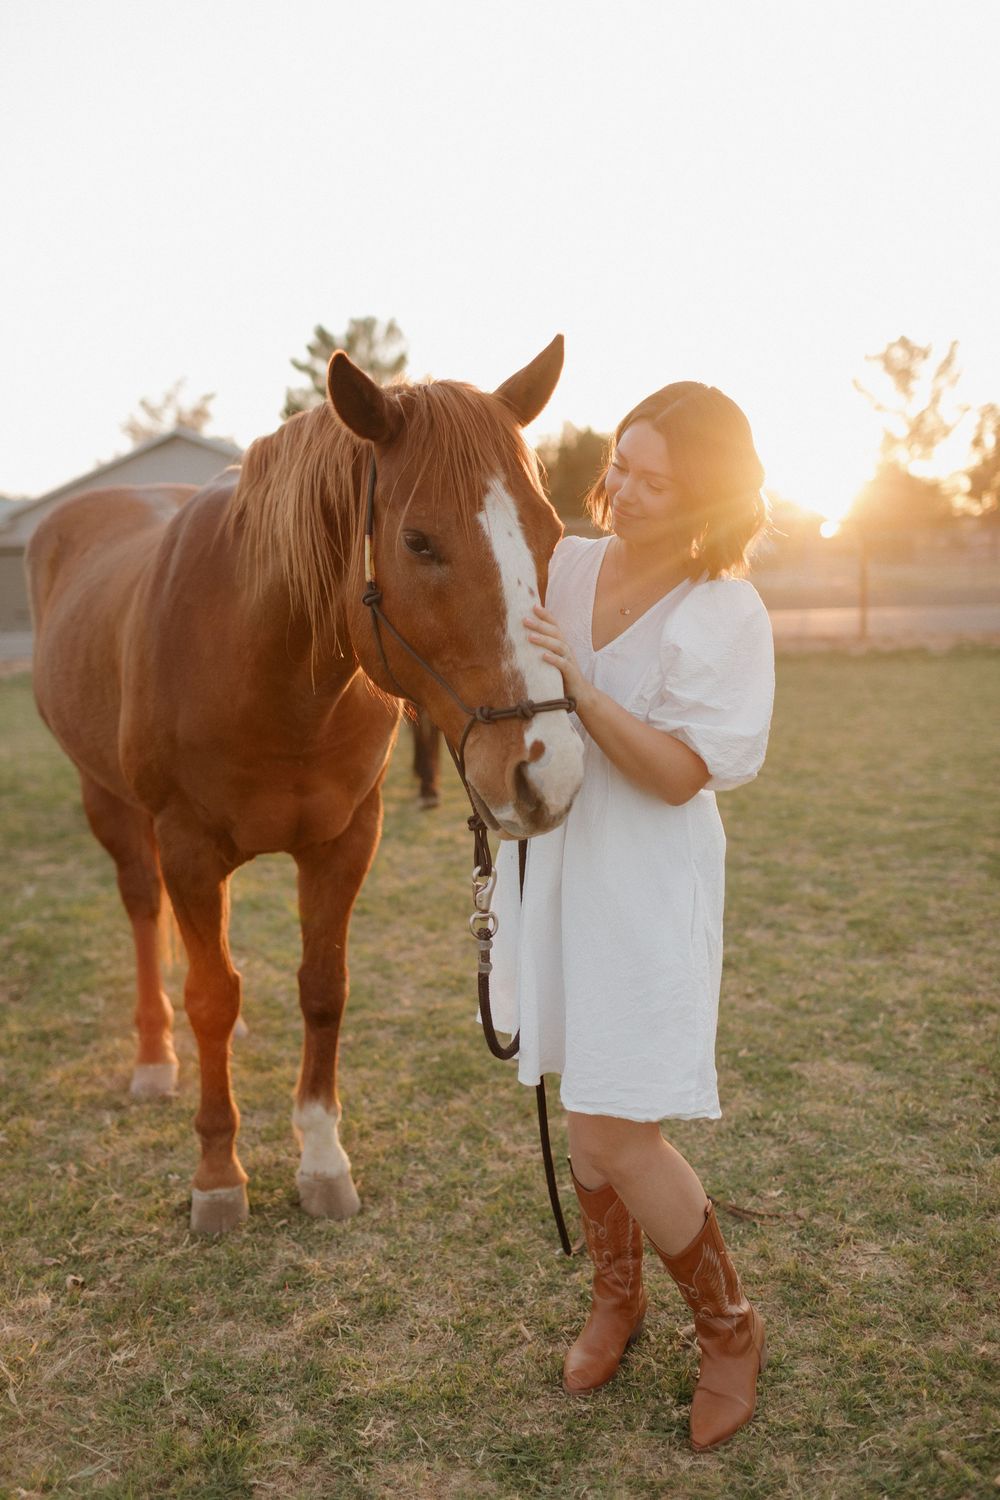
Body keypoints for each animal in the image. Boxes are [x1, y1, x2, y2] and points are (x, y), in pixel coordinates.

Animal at [27, 336, 584, 1234]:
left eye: (552, 531)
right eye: (419, 542)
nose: (548, 768)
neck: (269, 670)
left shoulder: (346, 839)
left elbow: (322, 989)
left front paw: (322, 1159)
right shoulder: (186, 846)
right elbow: (207, 998)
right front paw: (218, 1175)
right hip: (108, 801)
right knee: (146, 913)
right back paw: (153, 1055)